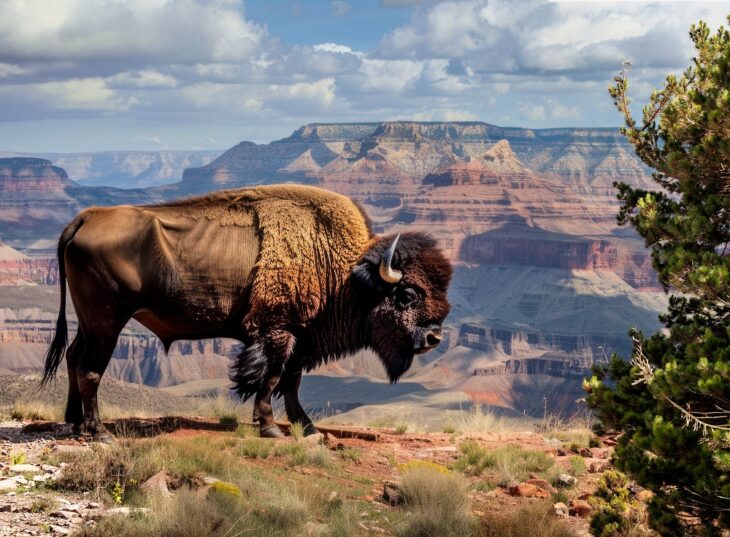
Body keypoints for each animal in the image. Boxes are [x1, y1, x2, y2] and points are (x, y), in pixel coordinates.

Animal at [42, 184, 451, 441]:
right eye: (406, 295)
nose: (434, 338)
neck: (342, 270)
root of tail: (87, 217)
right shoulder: (278, 332)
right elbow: (270, 378)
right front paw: (270, 428)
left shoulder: (299, 337)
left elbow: (291, 382)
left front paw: (306, 428)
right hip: (106, 323)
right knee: (90, 368)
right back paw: (100, 433)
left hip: (90, 323)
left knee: (74, 358)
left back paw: (75, 424)